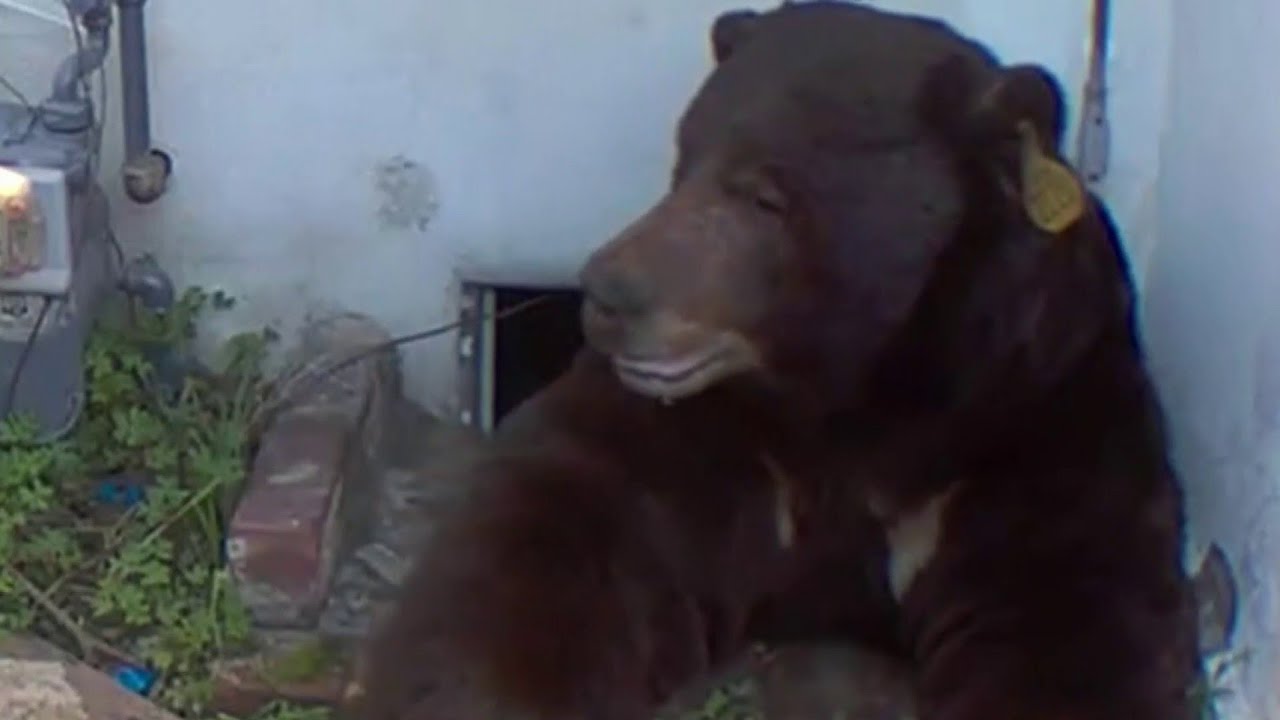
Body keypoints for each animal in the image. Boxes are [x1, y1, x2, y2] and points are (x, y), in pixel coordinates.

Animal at [350, 3, 1202, 720]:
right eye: (682, 160)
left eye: (764, 195)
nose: (609, 295)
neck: (861, 392)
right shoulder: (715, 435)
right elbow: (550, 541)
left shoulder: (1030, 414)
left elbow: (1064, 619)